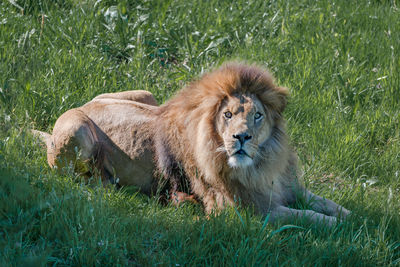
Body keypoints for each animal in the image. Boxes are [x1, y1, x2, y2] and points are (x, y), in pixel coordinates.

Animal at [36, 62, 350, 226]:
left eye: (257, 116)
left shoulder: (286, 186)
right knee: (82, 181)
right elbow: (306, 215)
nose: (241, 137)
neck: (260, 166)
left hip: (146, 95)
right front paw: (342, 227)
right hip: (76, 129)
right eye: (227, 115)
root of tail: (83, 104)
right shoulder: (246, 211)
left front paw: (349, 214)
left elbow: (323, 202)